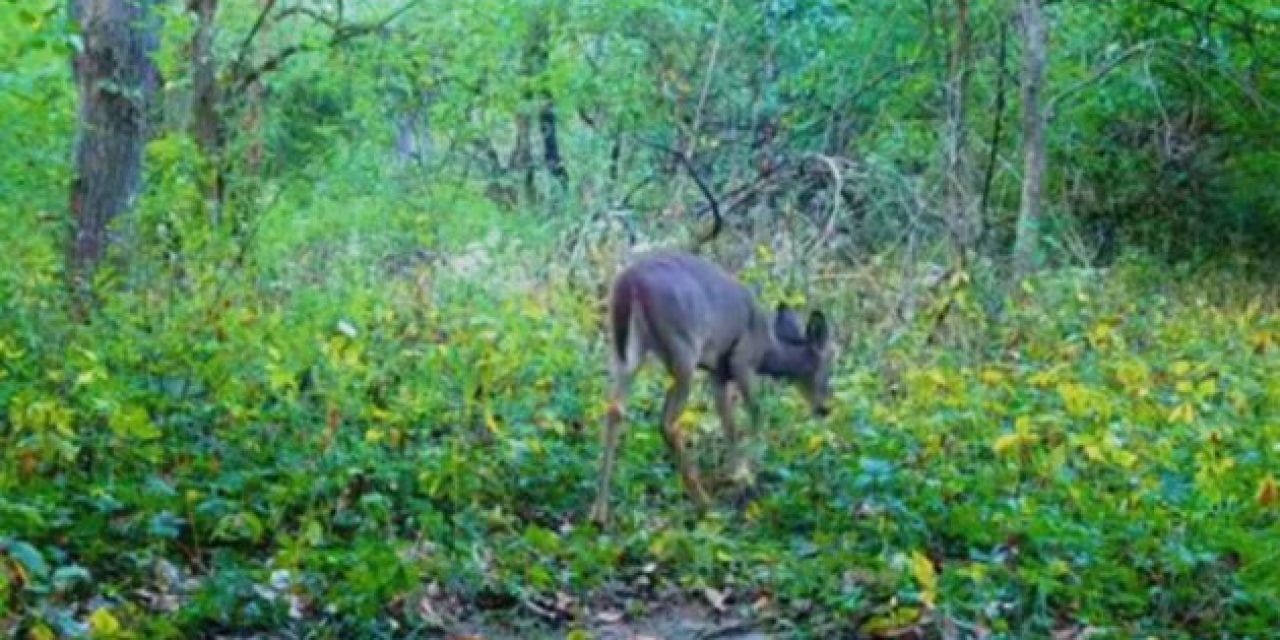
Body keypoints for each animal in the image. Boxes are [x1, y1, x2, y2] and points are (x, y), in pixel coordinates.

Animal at [588, 146, 839, 524]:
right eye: (828, 364)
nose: (825, 408)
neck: (768, 347)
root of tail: (629, 283)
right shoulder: (741, 362)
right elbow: (755, 415)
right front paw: (745, 479)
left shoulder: (718, 372)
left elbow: (728, 424)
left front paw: (735, 474)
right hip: (681, 349)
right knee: (668, 422)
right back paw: (703, 503)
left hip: (625, 350)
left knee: (615, 408)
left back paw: (600, 512)